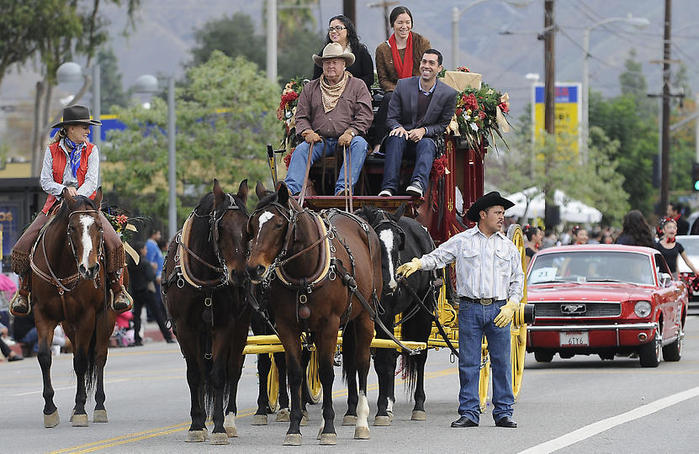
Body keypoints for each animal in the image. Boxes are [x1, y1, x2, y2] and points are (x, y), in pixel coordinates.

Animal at [29, 188, 116, 430]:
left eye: (99, 227)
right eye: (72, 228)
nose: (90, 268)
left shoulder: (87, 316)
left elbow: (81, 361)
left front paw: (79, 410)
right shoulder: (43, 314)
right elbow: (44, 357)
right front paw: (50, 410)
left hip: (105, 318)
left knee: (98, 356)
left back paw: (99, 406)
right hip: (69, 325)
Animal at [162, 179, 252, 446]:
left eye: (249, 227)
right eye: (220, 227)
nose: (240, 275)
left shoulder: (224, 325)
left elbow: (219, 375)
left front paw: (220, 428)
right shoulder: (184, 328)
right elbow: (195, 375)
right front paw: (197, 424)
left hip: (240, 328)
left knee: (233, 370)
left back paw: (230, 420)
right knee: (203, 372)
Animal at [247, 183, 382, 446]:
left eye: (278, 224)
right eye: (253, 225)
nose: (254, 268)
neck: (303, 271)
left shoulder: (329, 325)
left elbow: (327, 373)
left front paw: (329, 428)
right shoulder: (287, 326)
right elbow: (295, 372)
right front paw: (294, 428)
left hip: (364, 316)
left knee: (361, 363)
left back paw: (361, 422)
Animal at [358, 206, 440, 426]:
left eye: (398, 242)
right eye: (374, 241)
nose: (391, 283)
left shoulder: (384, 317)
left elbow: (382, 362)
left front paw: (380, 411)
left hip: (423, 310)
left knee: (420, 355)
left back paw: (418, 406)